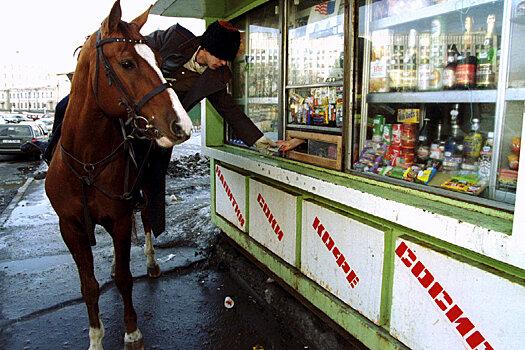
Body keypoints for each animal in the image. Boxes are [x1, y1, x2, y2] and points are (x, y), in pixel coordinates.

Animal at [45, 1, 191, 348]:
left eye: (160, 62)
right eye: (127, 63)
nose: (182, 125)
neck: (88, 160)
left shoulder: (122, 218)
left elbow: (126, 280)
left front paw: (132, 331)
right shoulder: (70, 228)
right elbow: (88, 286)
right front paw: (96, 338)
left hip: (145, 194)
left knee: (147, 222)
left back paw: (150, 262)